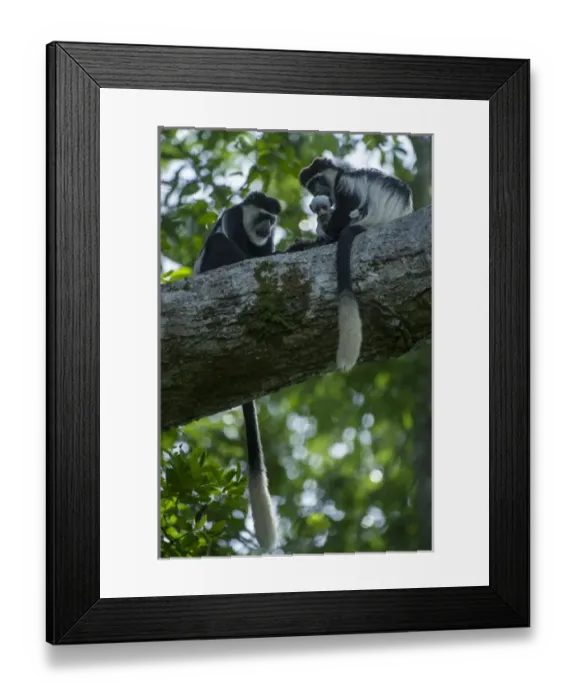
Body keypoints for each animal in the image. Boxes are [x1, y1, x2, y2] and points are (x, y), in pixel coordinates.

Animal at [291, 156, 414, 372]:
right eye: (312, 186)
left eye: (318, 180)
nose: (318, 190)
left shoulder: (346, 185)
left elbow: (344, 209)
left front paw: (323, 233)